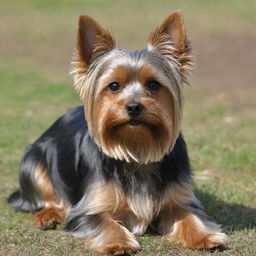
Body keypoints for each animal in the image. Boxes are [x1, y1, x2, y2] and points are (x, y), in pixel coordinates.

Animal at [8, 11, 228, 254]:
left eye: (154, 84)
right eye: (114, 86)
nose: (133, 107)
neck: (137, 149)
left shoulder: (180, 199)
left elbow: (190, 216)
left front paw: (204, 236)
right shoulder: (88, 209)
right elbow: (105, 222)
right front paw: (118, 242)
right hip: (33, 161)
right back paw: (47, 216)